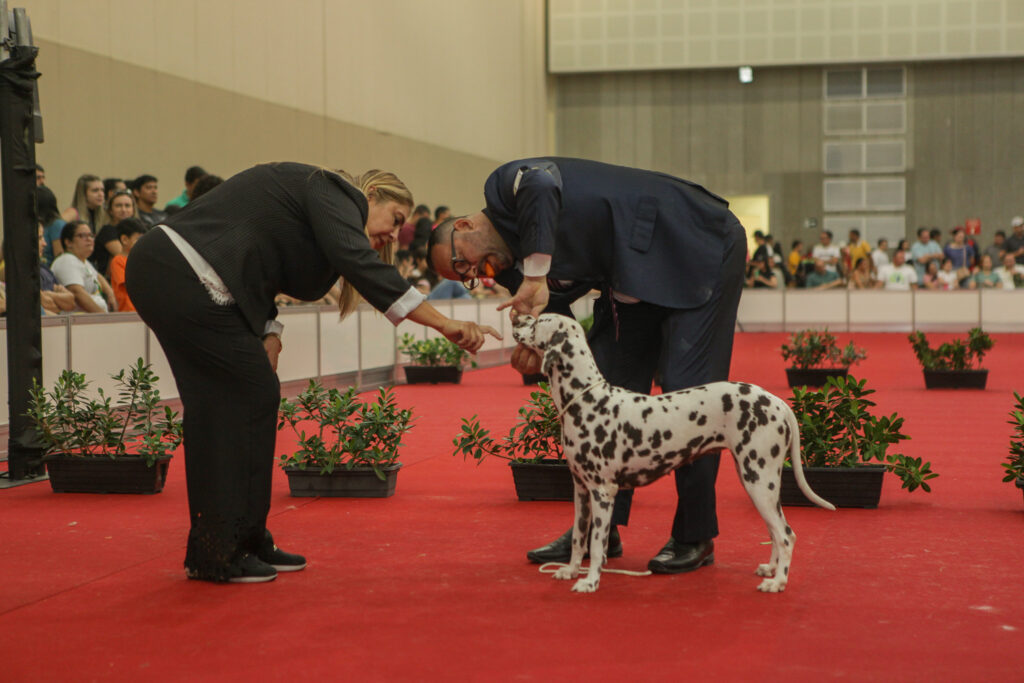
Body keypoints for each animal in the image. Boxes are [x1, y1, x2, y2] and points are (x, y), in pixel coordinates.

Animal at [509, 313, 831, 593]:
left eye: (537, 321)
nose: (516, 318)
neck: (586, 399)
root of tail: (777, 401)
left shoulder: (603, 491)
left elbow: (597, 545)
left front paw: (590, 582)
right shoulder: (580, 489)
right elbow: (579, 538)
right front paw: (571, 570)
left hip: (759, 480)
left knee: (786, 535)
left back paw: (778, 582)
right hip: (757, 483)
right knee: (775, 532)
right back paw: (771, 569)